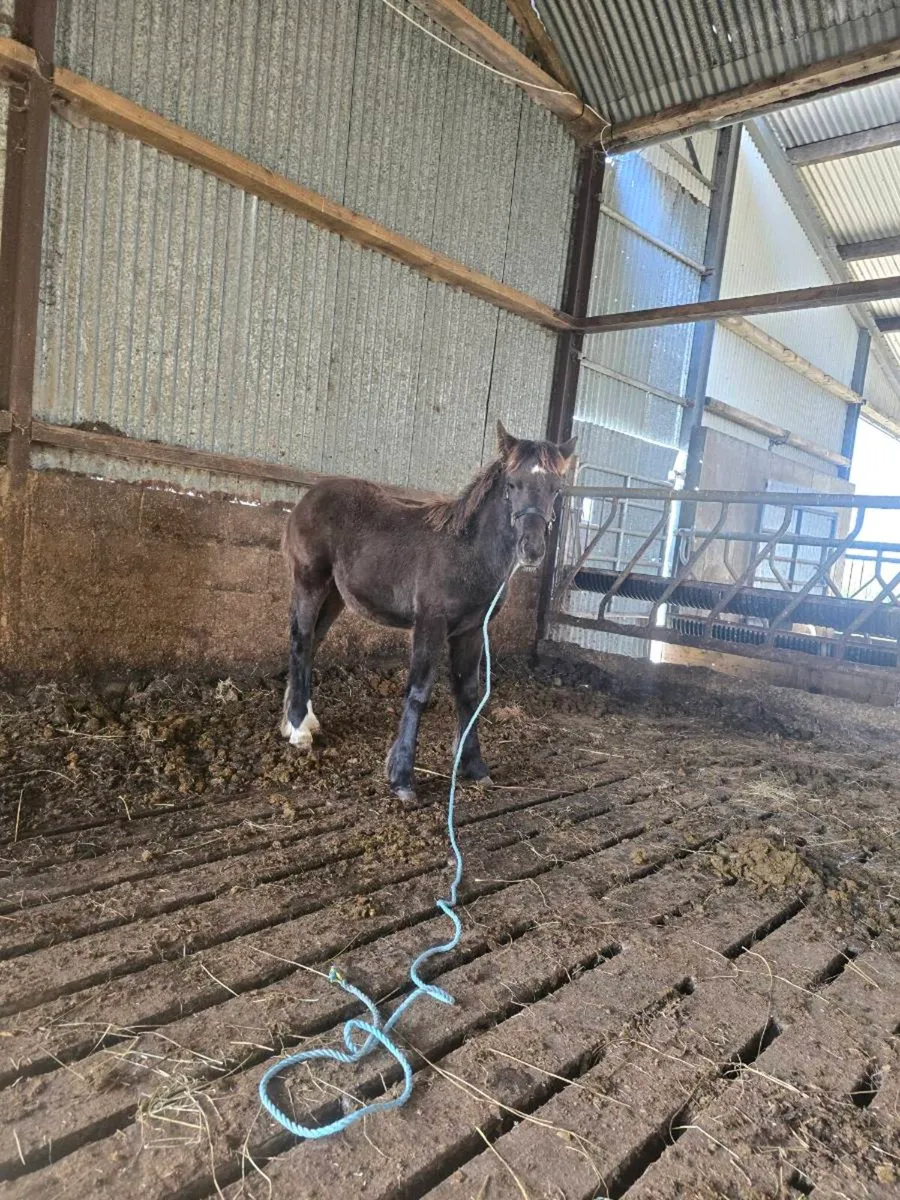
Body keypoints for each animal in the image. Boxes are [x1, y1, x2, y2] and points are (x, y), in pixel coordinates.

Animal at [279, 421, 576, 801]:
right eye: (512, 484)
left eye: (556, 489)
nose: (533, 549)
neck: (466, 552)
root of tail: (309, 497)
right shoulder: (430, 624)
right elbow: (418, 692)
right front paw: (402, 778)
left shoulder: (471, 631)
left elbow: (468, 693)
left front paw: (475, 767)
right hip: (310, 582)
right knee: (301, 641)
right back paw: (298, 728)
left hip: (335, 595)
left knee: (312, 643)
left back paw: (301, 720)